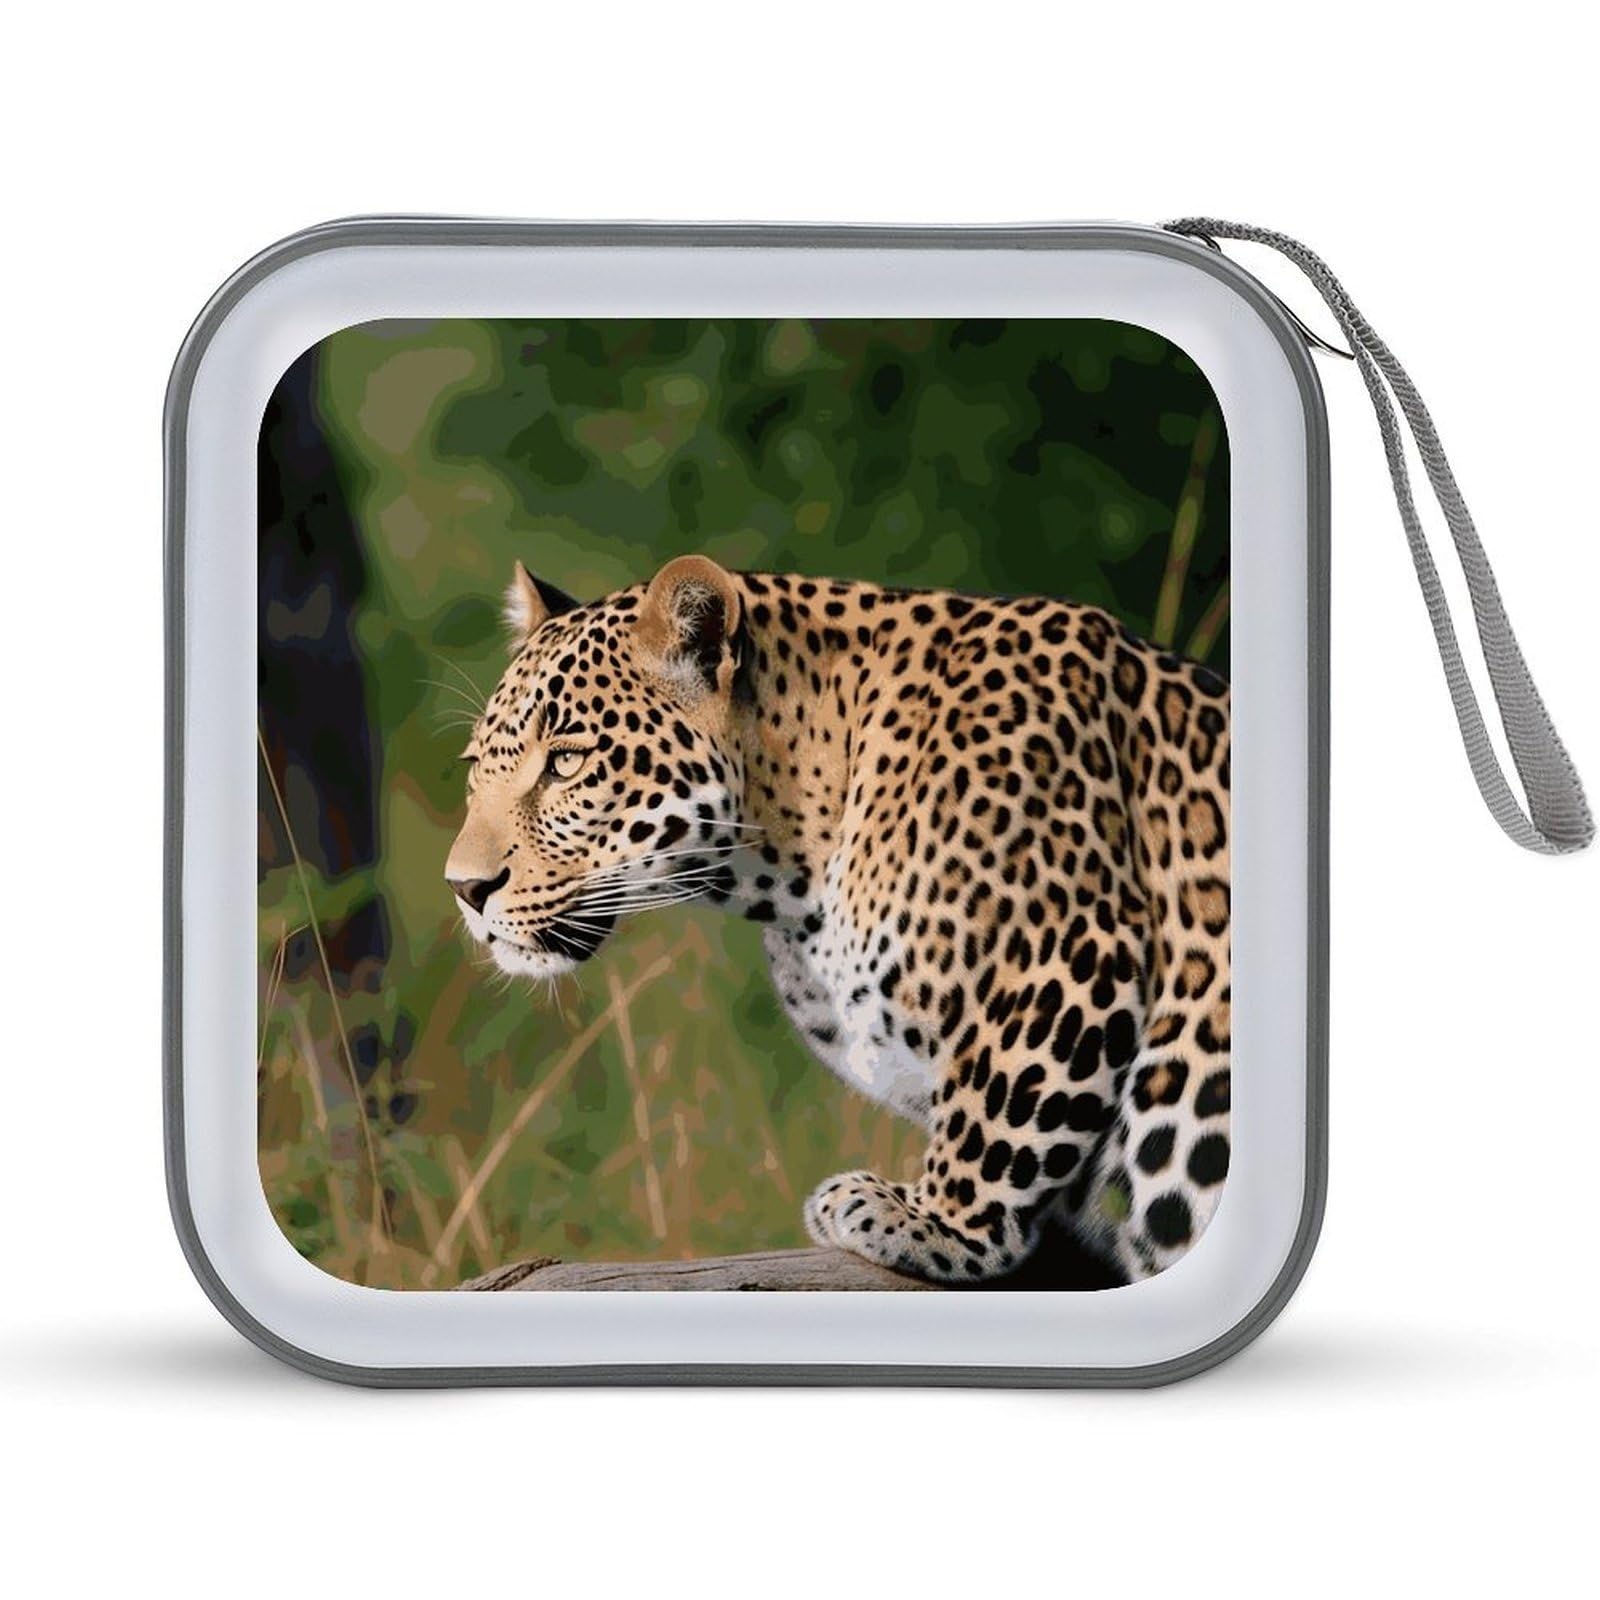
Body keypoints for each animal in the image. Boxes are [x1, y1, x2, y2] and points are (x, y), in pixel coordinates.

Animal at [445, 554, 1231, 1285]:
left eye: (567, 763)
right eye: (477, 766)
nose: (465, 888)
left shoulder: (1067, 949)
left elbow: (1002, 1106)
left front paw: (934, 1221)